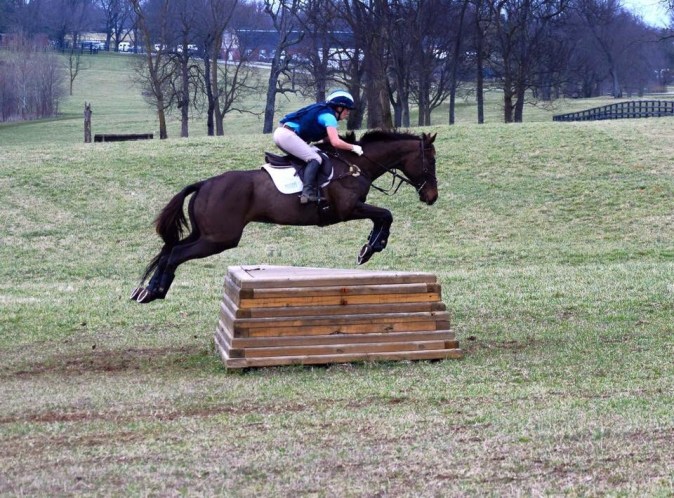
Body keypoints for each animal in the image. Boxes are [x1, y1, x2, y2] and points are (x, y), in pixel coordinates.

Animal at [131, 129, 438, 303]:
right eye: (432, 161)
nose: (432, 196)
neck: (356, 164)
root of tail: (204, 184)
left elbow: (383, 217)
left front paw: (369, 247)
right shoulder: (348, 209)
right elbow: (386, 215)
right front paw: (372, 247)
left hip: (205, 234)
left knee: (170, 249)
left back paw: (147, 290)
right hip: (219, 238)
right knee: (174, 253)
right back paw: (155, 291)